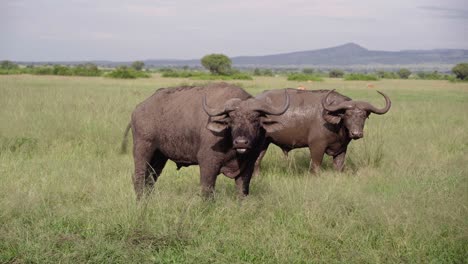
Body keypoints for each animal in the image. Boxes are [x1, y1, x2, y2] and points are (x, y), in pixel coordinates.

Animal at [121, 83, 288, 199]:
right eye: (232, 120)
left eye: (255, 120)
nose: (241, 143)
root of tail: (139, 109)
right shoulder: (208, 163)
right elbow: (207, 191)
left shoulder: (249, 165)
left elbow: (242, 190)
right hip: (143, 148)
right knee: (139, 177)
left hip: (159, 156)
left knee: (151, 179)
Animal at [254, 88, 390, 175]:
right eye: (347, 115)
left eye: (363, 116)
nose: (356, 133)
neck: (337, 126)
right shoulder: (316, 146)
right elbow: (316, 166)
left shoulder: (342, 148)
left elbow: (339, 166)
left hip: (264, 144)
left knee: (256, 161)